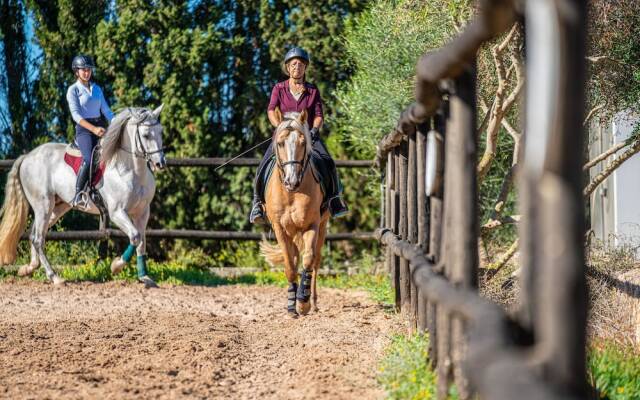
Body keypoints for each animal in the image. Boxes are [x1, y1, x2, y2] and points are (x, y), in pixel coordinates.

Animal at [0, 106, 168, 288]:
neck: (130, 171)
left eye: (160, 131)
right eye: (146, 135)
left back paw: (29, 268)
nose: (160, 163)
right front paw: (116, 266)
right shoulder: (117, 212)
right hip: (43, 205)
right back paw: (55, 277)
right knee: (38, 239)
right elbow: (135, 237)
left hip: (57, 208)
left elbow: (141, 242)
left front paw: (145, 277)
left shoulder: (142, 212)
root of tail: (27, 157)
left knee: (34, 234)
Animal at [260, 109, 330, 316]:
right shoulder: (280, 229)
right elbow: (290, 267)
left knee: (315, 260)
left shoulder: (312, 225)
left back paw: (312, 302)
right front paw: (292, 306)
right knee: (296, 257)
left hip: (323, 225)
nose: (292, 181)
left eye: (303, 142)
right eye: (280, 143)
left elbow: (308, 260)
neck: (291, 193)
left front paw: (303, 303)